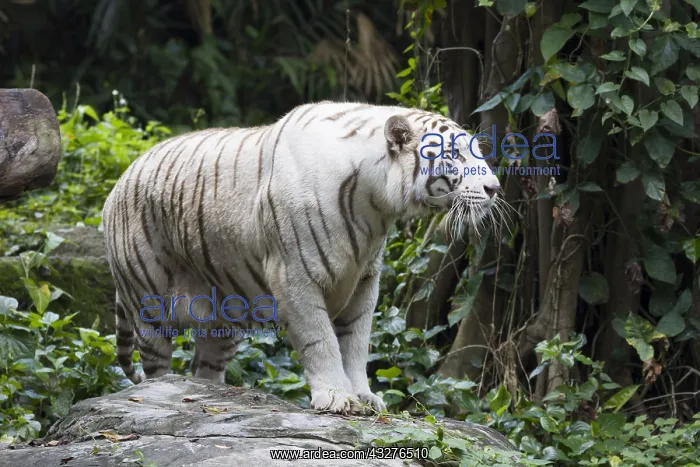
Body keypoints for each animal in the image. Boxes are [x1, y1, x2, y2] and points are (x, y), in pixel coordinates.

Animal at [102, 101, 501, 415]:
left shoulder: (365, 280)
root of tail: (120, 179)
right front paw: (337, 398)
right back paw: (163, 392)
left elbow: (356, 342)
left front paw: (364, 395)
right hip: (149, 304)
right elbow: (321, 340)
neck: (375, 206)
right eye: (456, 155)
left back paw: (213, 395)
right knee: (155, 367)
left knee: (206, 364)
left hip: (224, 318)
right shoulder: (293, 276)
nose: (495, 188)